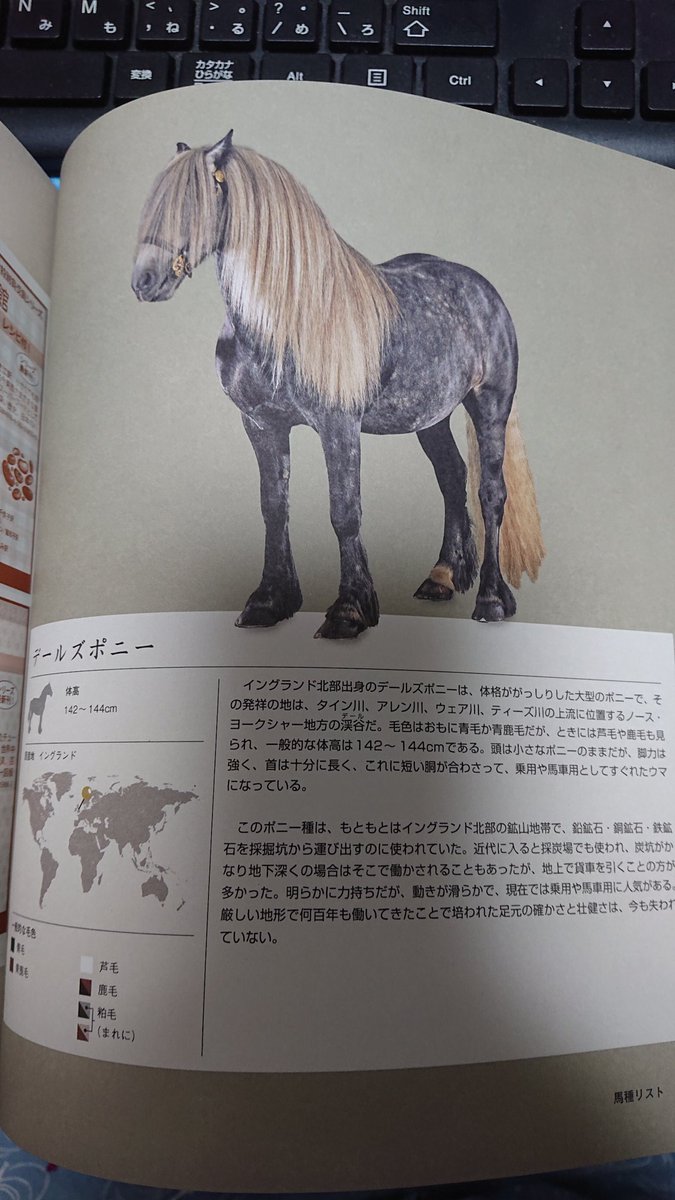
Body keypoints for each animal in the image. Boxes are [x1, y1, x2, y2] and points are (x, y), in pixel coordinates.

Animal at [132, 132, 544, 639]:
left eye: (194, 201)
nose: (144, 280)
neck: (285, 318)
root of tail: (484, 290)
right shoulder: (261, 426)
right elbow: (274, 507)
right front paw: (269, 602)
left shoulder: (338, 427)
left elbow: (344, 513)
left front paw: (349, 611)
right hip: (431, 419)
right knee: (451, 478)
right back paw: (442, 578)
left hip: (489, 405)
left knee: (491, 492)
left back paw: (491, 599)